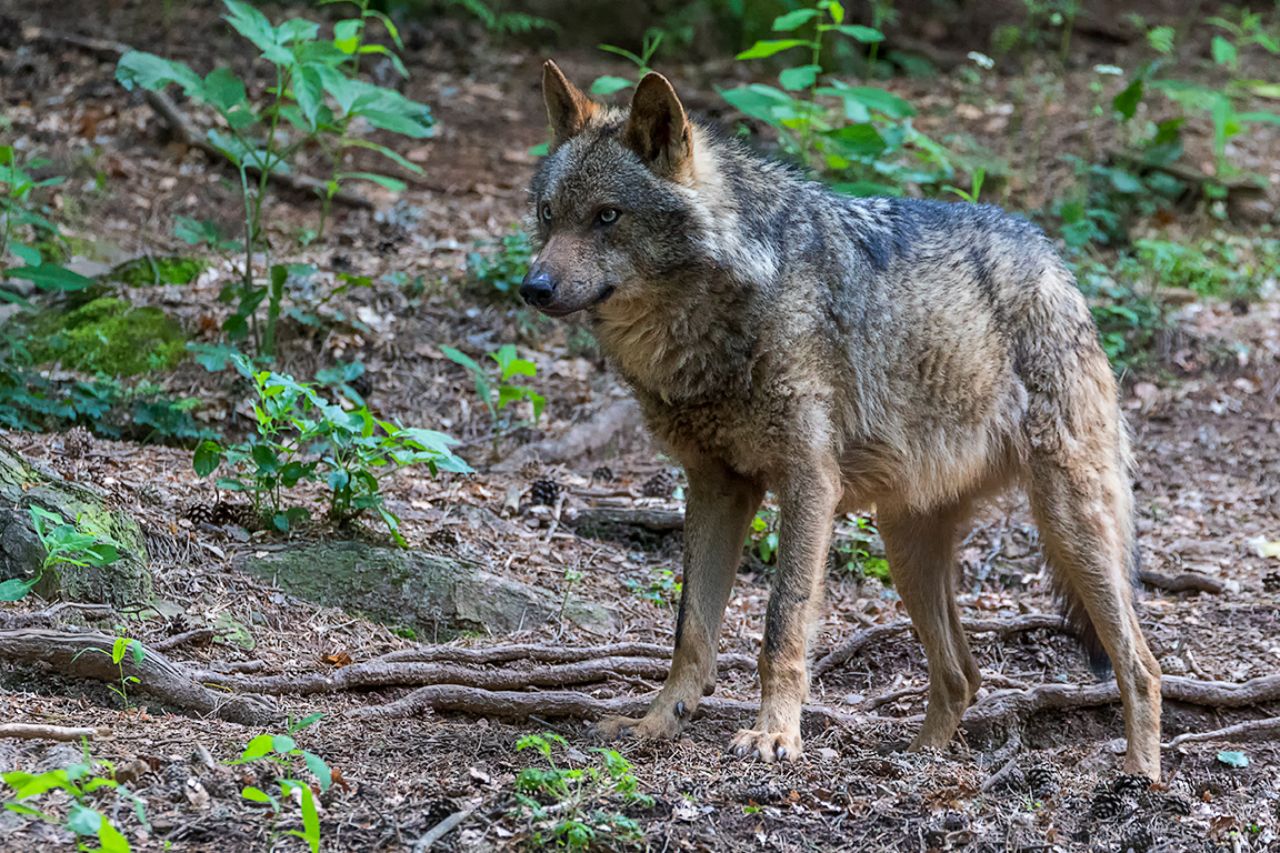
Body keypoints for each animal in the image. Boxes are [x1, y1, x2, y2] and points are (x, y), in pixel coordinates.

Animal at [520, 60, 1162, 779]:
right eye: (549, 215)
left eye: (608, 217)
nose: (532, 287)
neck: (718, 315)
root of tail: (1054, 260)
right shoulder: (715, 487)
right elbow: (691, 630)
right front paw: (658, 723)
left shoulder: (808, 484)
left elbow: (782, 624)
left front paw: (774, 736)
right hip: (904, 542)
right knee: (963, 674)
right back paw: (920, 763)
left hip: (1069, 527)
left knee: (1142, 665)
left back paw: (1141, 778)